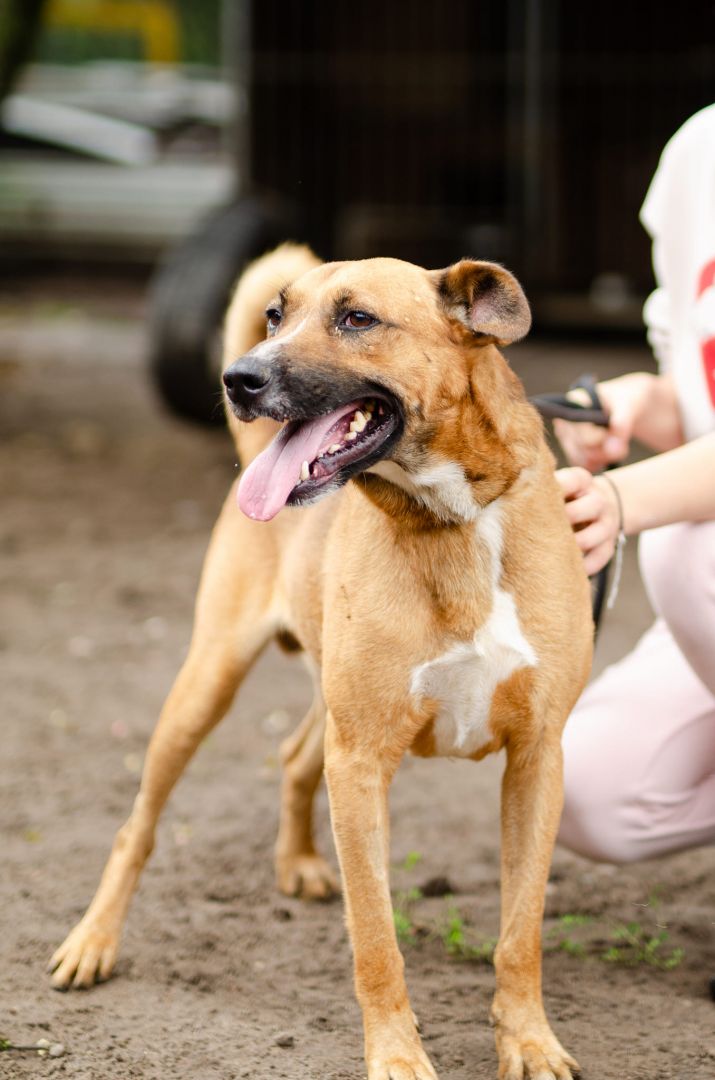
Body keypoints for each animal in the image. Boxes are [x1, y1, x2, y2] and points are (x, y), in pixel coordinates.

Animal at [50, 244, 593, 1080]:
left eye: (357, 318)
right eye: (276, 315)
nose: (236, 378)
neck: (451, 523)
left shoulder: (536, 759)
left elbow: (520, 931)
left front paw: (528, 1040)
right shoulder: (362, 762)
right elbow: (374, 939)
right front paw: (397, 1057)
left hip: (323, 706)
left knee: (294, 753)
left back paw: (298, 861)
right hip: (205, 687)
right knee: (136, 827)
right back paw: (93, 941)